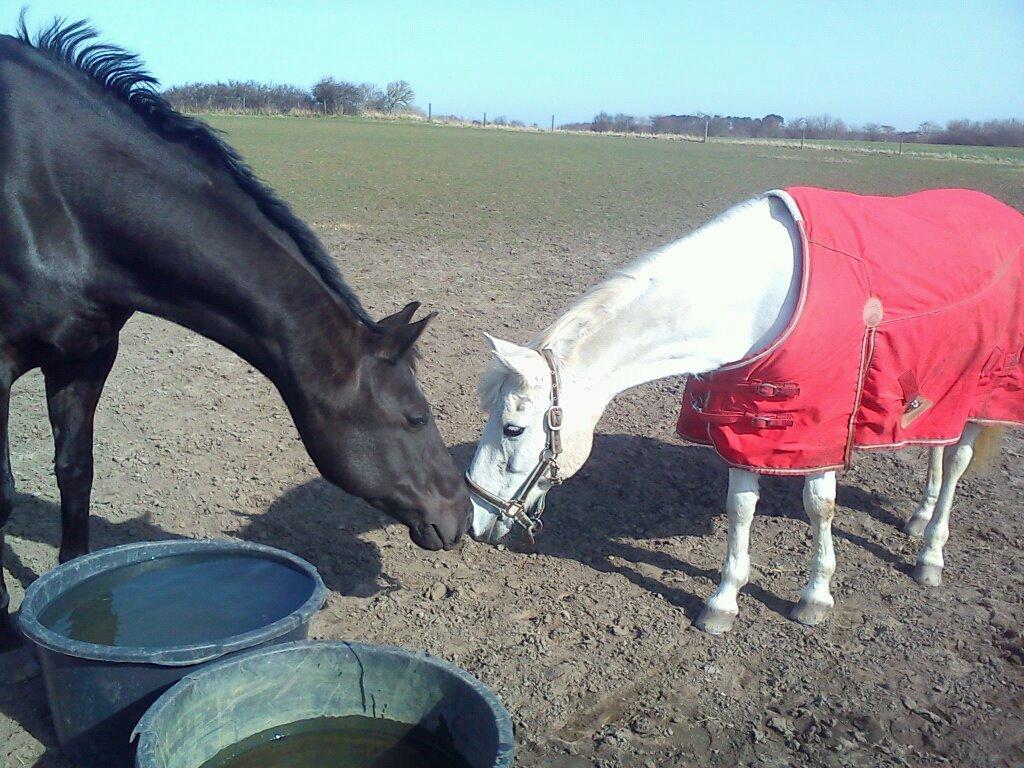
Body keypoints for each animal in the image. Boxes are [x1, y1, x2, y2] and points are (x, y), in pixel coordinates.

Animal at [0, 17, 470, 660]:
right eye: (417, 418)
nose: (462, 515)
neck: (62, 197)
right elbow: (3, 495)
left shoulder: (85, 355)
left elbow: (76, 470)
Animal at [465, 187, 1021, 634]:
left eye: (512, 428)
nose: (473, 519)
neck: (754, 299)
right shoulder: (744, 421)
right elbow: (740, 507)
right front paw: (724, 602)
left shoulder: (816, 426)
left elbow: (820, 505)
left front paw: (815, 597)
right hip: (945, 388)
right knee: (938, 448)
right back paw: (919, 518)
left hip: (985, 392)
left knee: (956, 462)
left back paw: (931, 553)